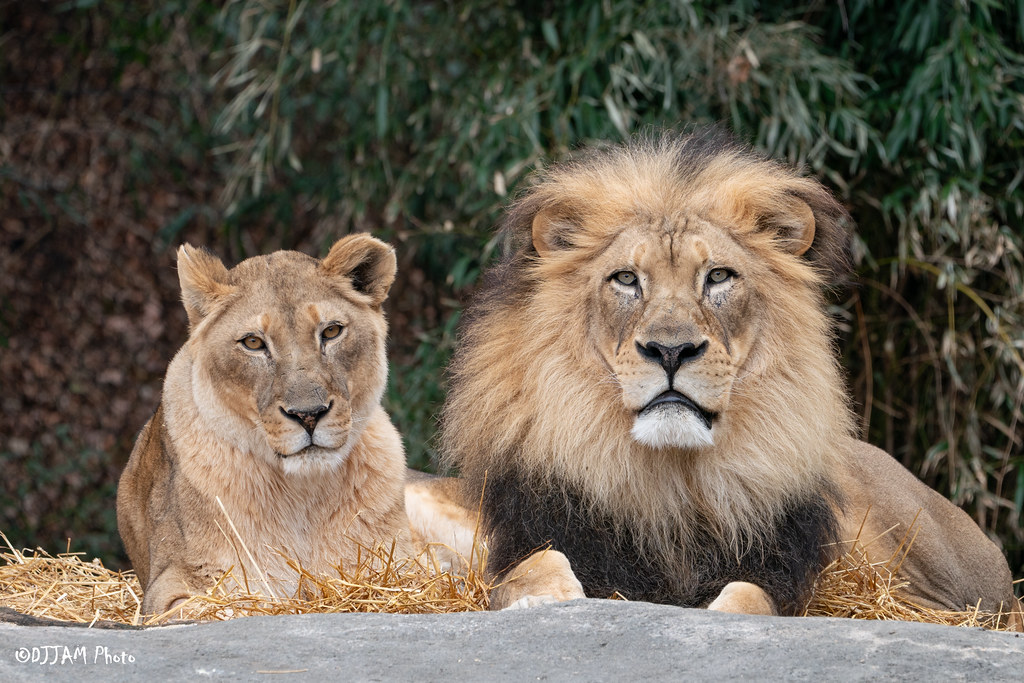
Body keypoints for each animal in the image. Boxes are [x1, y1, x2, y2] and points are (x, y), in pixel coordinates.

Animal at [117, 234, 410, 615]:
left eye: (331, 331)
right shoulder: (172, 589)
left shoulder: (401, 570)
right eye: (253, 342)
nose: (308, 414)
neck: (303, 495)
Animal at [438, 129, 1021, 624]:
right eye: (626, 279)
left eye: (718, 276)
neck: (669, 481)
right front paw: (544, 601)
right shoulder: (537, 536)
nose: (671, 350)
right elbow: (536, 569)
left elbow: (748, 597)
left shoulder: (776, 572)